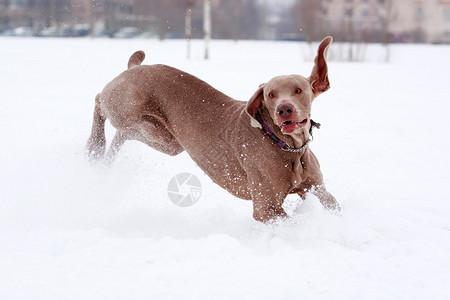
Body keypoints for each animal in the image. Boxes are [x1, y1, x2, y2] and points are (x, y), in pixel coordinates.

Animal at [86, 36, 340, 221]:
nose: (284, 109)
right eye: (270, 94)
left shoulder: (318, 189)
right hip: (126, 106)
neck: (288, 148)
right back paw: (94, 147)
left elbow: (334, 205)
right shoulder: (266, 208)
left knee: (124, 133)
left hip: (164, 138)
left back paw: (104, 161)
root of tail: (134, 67)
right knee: (99, 100)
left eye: (298, 90)